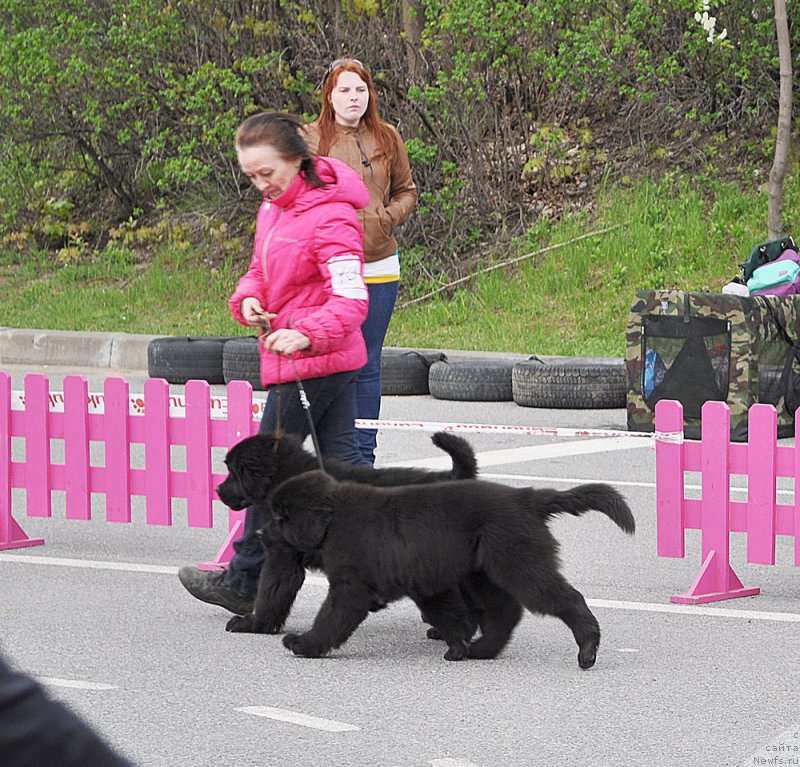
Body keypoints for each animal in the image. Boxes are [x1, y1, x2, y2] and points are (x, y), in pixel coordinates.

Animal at [216, 432, 478, 636]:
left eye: (233, 472)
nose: (218, 490)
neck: (283, 477)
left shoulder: (282, 555)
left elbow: (270, 591)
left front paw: (254, 624)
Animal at [272, 472, 636, 668]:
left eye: (281, 517)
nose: (263, 534)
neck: (333, 517)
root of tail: (528, 498)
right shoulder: (427, 584)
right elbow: (449, 614)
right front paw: (458, 647)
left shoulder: (351, 586)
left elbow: (331, 617)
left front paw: (303, 644)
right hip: (482, 573)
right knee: (505, 613)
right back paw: (483, 649)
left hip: (519, 563)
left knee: (566, 599)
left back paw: (587, 649)